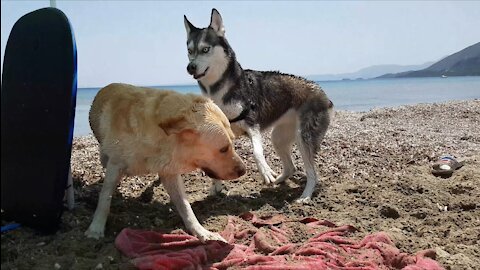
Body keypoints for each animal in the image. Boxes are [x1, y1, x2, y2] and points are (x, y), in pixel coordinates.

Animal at [84, 83, 246, 242]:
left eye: (233, 143)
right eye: (223, 149)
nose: (244, 170)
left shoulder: (169, 172)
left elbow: (185, 206)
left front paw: (201, 231)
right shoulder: (114, 166)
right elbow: (104, 199)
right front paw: (95, 228)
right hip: (105, 158)